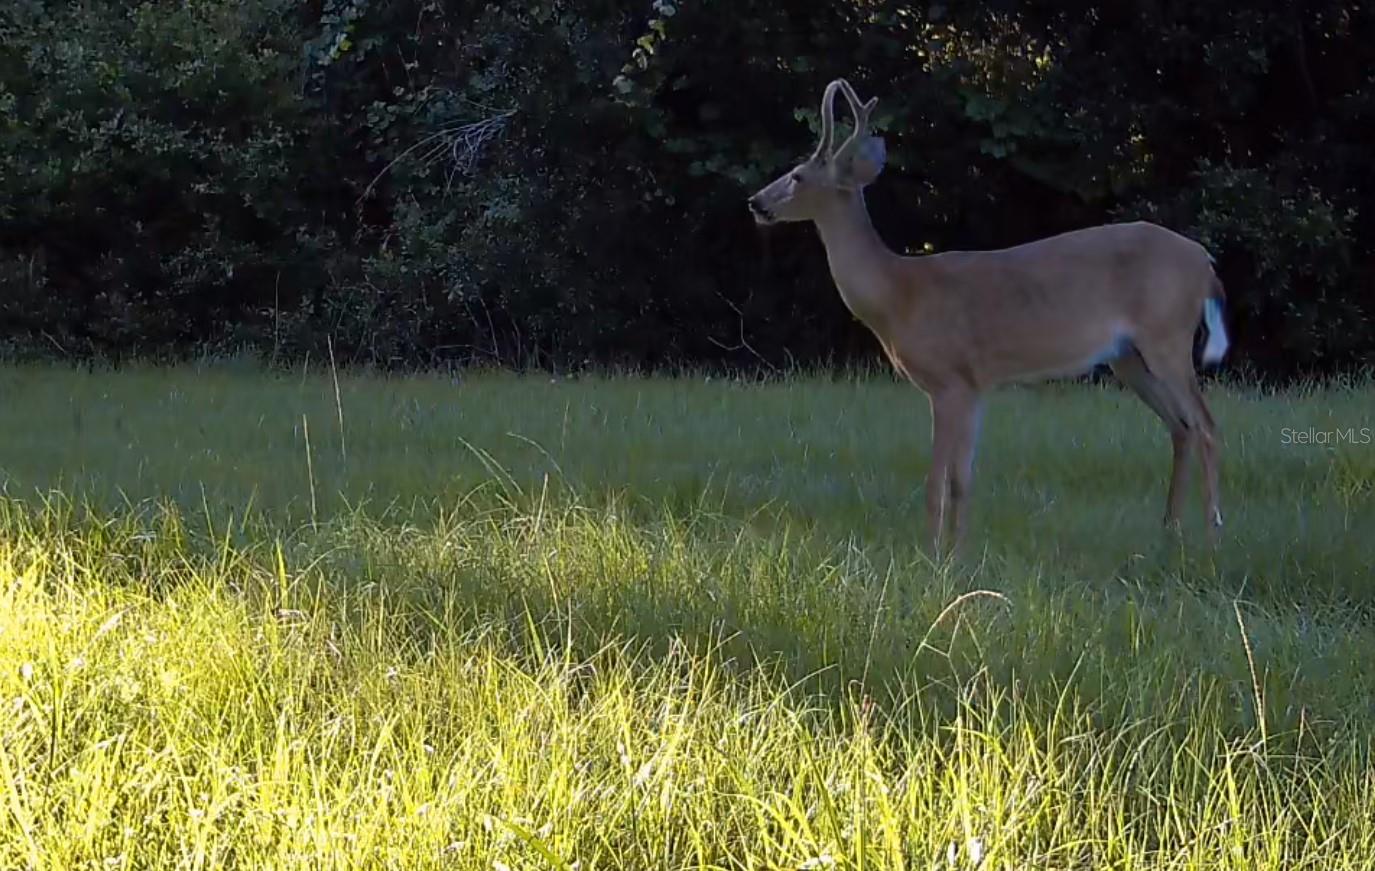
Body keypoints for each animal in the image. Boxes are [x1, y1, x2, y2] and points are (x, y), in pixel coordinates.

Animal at [748, 78, 1232, 553]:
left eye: (798, 175)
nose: (755, 201)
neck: (898, 294)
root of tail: (1206, 261)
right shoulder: (974, 385)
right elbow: (962, 480)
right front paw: (959, 555)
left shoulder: (947, 380)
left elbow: (936, 483)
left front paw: (931, 555)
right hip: (1128, 357)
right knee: (1182, 428)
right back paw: (1169, 530)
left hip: (1167, 335)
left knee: (1206, 425)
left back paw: (1212, 535)